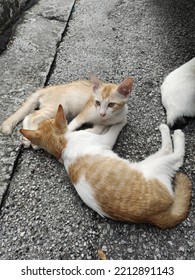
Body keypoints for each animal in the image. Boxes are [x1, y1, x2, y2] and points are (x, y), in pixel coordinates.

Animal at [0, 74, 133, 149]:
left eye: (111, 104)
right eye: (97, 102)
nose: (102, 113)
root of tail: (47, 88)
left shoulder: (111, 120)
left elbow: (98, 129)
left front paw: (88, 131)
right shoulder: (83, 114)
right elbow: (71, 126)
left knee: (29, 116)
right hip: (57, 107)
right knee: (31, 117)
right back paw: (31, 140)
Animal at [20, 104, 192, 228]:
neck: (61, 146)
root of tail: (154, 217)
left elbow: (99, 128)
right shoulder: (105, 140)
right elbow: (112, 130)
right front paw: (119, 121)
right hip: (155, 165)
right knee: (173, 154)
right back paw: (174, 133)